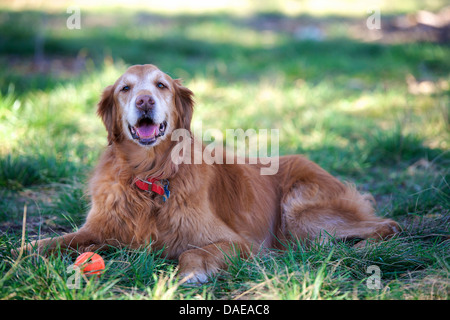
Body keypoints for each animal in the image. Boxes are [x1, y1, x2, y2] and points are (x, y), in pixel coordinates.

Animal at [24, 63, 400, 284]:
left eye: (161, 85)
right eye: (125, 89)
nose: (145, 101)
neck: (149, 176)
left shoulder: (238, 243)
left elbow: (193, 251)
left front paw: (189, 275)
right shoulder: (97, 229)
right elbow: (45, 243)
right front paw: (19, 256)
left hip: (300, 215)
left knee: (388, 225)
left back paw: (358, 253)